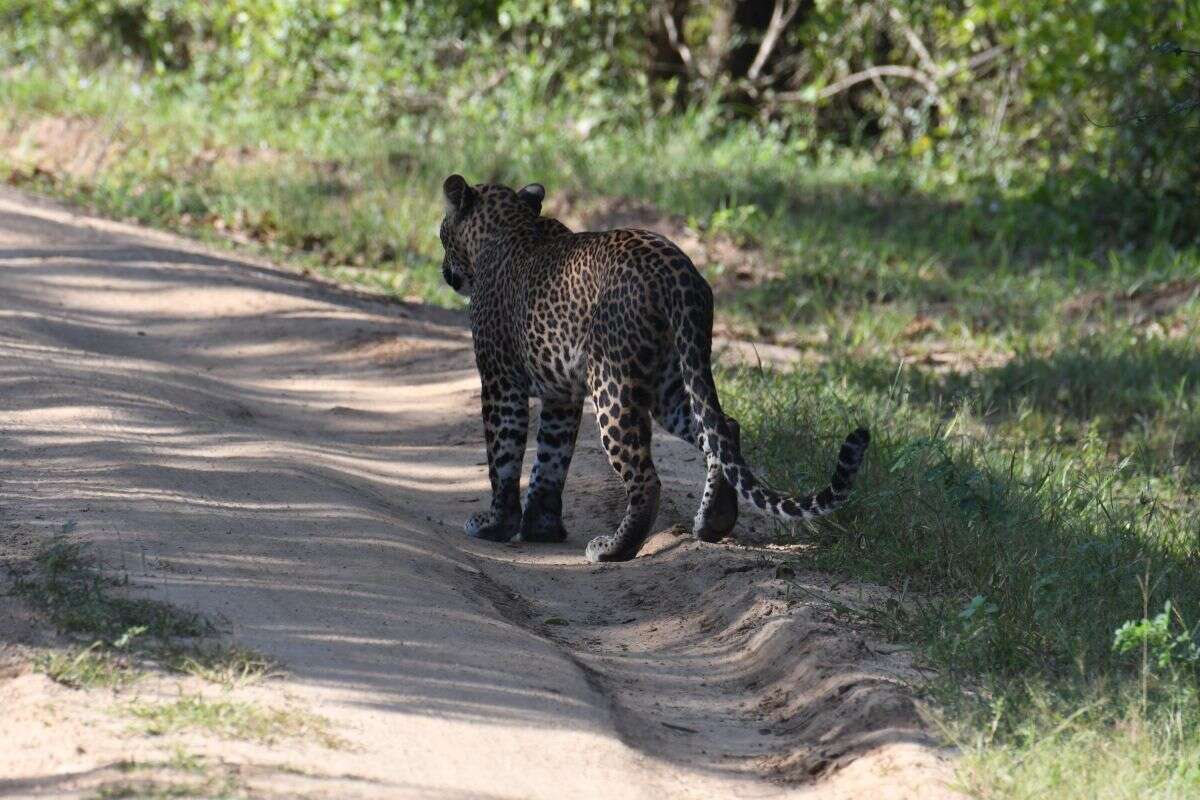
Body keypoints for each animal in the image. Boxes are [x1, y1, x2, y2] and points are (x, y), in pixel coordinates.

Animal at [436, 175, 868, 563]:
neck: (508, 223)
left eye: (442, 234)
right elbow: (550, 459)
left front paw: (496, 525)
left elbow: (504, 456)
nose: (444, 271)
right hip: (672, 379)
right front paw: (541, 528)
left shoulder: (500, 382)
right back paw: (713, 521)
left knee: (646, 477)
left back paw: (614, 549)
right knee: (723, 428)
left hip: (612, 381)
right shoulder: (561, 394)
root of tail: (679, 270)